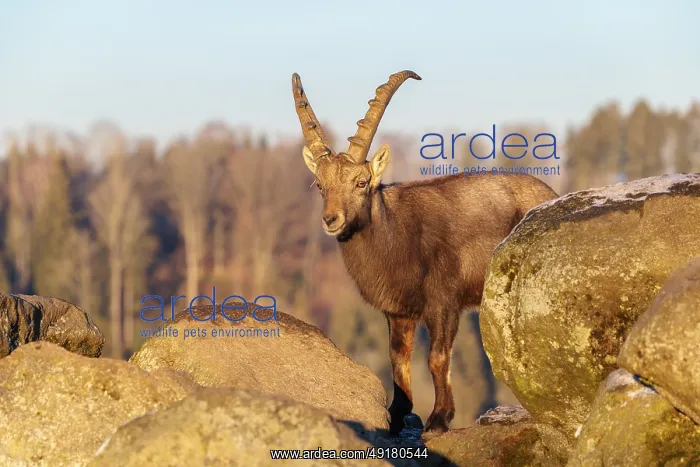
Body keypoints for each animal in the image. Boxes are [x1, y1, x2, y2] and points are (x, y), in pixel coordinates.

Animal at [291, 70, 558, 438]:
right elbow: (398, 361)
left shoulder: (443, 303)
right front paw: (395, 415)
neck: (396, 235)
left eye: (361, 182)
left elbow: (436, 358)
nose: (331, 219)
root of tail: (552, 194)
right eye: (319, 185)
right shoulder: (399, 311)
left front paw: (439, 420)